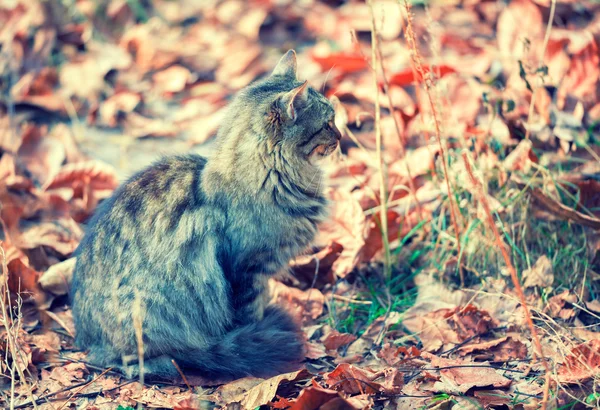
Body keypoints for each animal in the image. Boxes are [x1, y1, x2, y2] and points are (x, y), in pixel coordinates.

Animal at [69, 49, 342, 380]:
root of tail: (87, 340)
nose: (341, 136)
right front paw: (258, 335)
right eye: (327, 123)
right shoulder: (247, 269)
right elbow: (249, 314)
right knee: (138, 361)